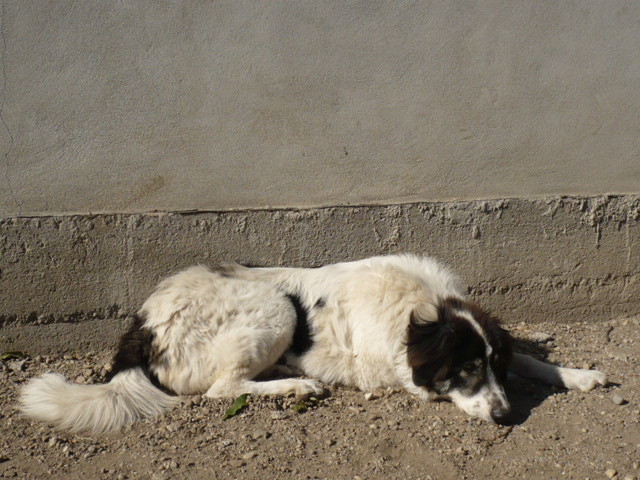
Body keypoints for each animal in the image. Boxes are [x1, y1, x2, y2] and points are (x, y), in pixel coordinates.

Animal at [20, 255, 608, 436]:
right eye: (463, 370)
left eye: (491, 367)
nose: (507, 416)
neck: (421, 308)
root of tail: (144, 321)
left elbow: (529, 357)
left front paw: (576, 374)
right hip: (275, 308)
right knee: (221, 389)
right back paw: (297, 383)